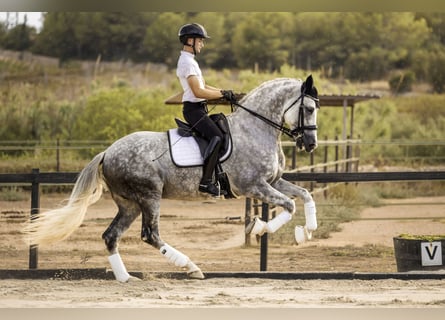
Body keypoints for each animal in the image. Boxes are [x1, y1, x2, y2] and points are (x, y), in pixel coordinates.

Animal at [23, 74, 320, 280]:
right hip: (149, 196)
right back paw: (191, 267)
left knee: (111, 235)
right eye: (309, 109)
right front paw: (258, 228)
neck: (256, 129)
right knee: (150, 235)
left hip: (129, 204)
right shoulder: (253, 185)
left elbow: (305, 196)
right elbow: (289, 205)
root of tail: (107, 152)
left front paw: (306, 231)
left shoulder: (273, 181)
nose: (310, 144)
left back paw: (125, 278)